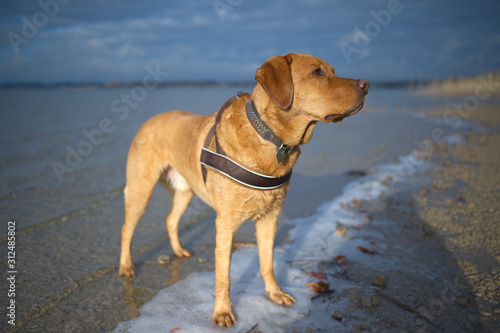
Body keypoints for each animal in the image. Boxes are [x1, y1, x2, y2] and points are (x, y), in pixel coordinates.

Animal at [118, 53, 368, 326]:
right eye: (317, 72)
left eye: (332, 70)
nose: (366, 84)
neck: (271, 138)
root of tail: (150, 120)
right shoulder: (226, 223)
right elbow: (223, 275)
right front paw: (222, 311)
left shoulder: (270, 218)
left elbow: (267, 263)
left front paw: (274, 294)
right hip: (141, 187)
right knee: (127, 228)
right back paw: (126, 266)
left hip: (185, 191)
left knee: (170, 220)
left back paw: (178, 250)